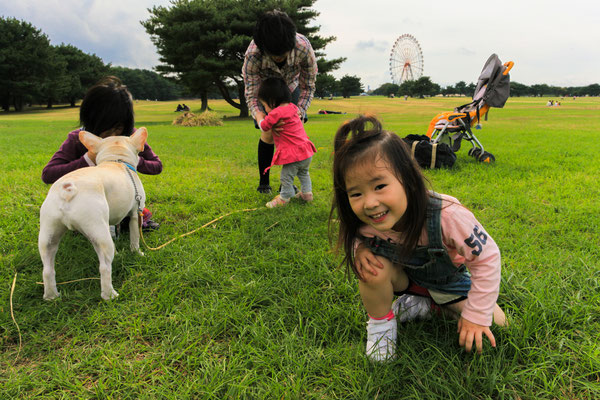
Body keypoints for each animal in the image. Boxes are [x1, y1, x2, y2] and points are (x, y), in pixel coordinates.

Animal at [38, 128, 148, 300]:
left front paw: (118, 253)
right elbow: (135, 238)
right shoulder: (136, 214)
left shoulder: (108, 220)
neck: (116, 160)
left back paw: (52, 296)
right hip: (98, 231)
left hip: (49, 233)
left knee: (47, 269)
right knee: (104, 267)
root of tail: (68, 189)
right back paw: (110, 295)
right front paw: (137, 253)